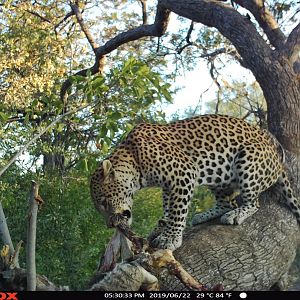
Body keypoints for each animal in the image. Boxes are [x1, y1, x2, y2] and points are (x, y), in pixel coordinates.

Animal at [89, 115, 300, 251]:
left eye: (104, 202)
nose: (110, 225)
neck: (133, 159)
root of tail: (278, 159)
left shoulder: (183, 175)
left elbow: (177, 211)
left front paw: (170, 238)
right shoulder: (168, 186)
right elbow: (168, 208)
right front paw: (161, 227)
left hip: (248, 160)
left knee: (253, 202)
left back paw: (237, 214)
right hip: (218, 174)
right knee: (226, 203)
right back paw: (204, 215)